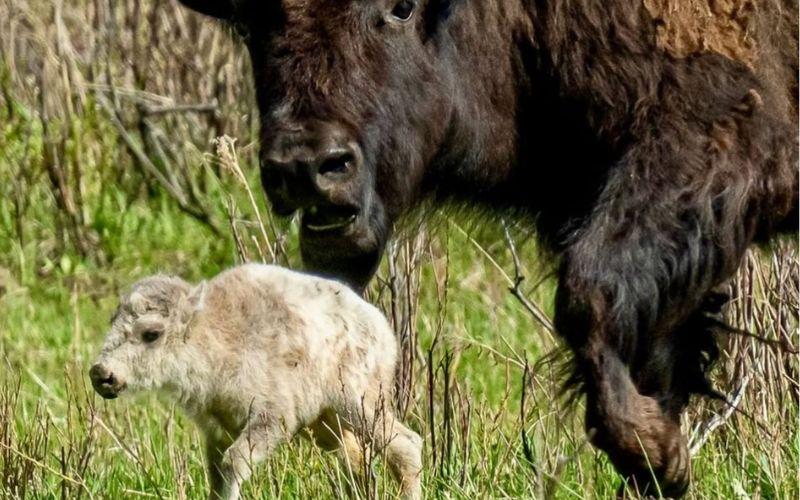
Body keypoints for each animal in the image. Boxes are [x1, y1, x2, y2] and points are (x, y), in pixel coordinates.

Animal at [90, 264, 422, 498]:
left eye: (151, 334)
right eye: (112, 321)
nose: (101, 374)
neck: (215, 334)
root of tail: (382, 328)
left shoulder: (271, 418)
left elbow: (233, 465)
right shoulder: (217, 431)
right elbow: (216, 476)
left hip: (359, 403)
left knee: (406, 445)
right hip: (327, 424)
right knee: (357, 462)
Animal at [175, 0, 792, 496]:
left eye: (402, 7)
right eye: (252, 20)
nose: (308, 167)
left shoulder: (710, 141)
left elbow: (589, 292)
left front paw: (654, 454)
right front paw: (660, 457)